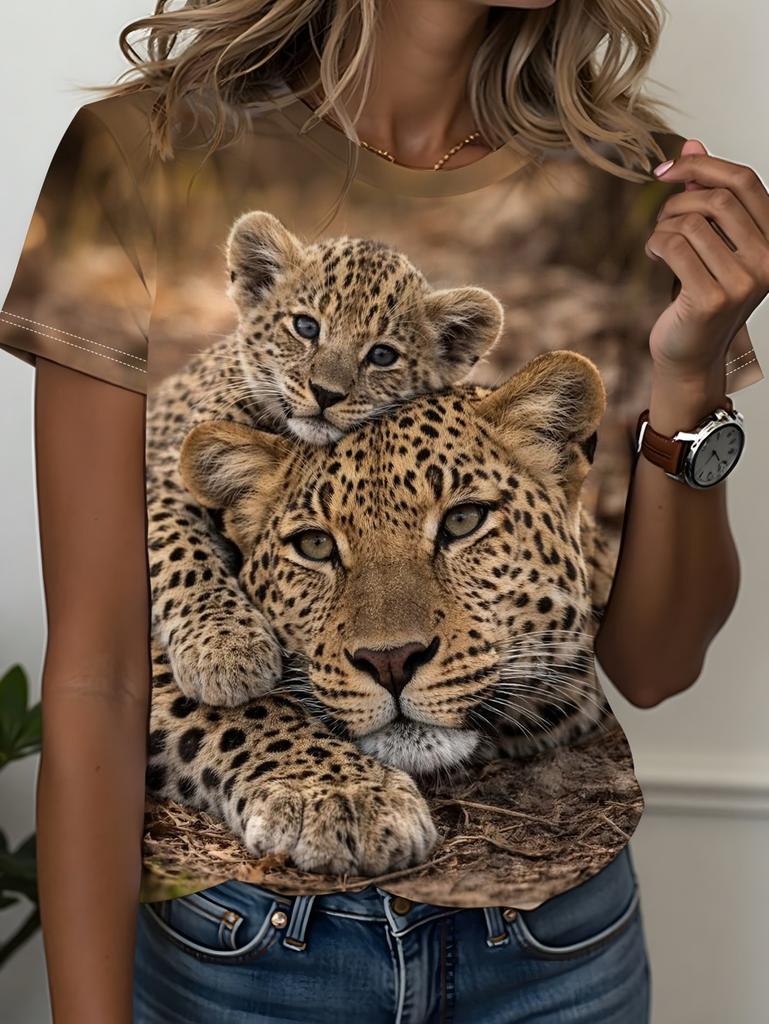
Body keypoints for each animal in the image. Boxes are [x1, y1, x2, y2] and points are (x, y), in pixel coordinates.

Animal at [146, 209, 504, 708]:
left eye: (382, 354)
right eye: (306, 327)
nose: (326, 393)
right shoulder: (164, 479)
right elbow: (183, 553)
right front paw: (225, 648)